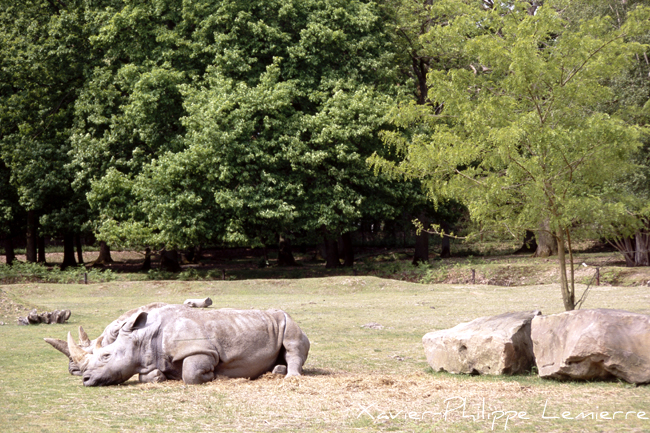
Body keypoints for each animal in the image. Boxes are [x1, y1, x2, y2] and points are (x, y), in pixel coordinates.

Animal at [51, 304, 310, 386]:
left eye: (106, 356)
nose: (84, 379)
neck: (143, 337)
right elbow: (148, 375)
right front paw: (159, 377)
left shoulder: (202, 350)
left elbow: (191, 373)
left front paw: (215, 376)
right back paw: (276, 371)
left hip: (288, 321)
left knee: (293, 342)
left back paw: (290, 377)